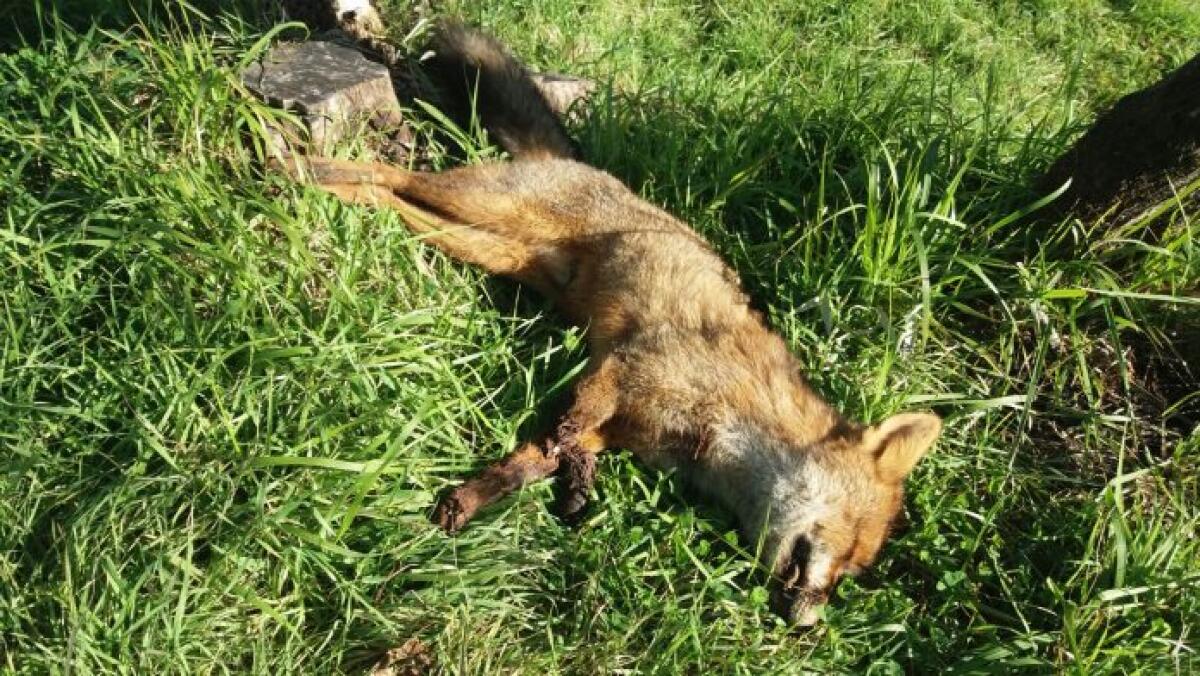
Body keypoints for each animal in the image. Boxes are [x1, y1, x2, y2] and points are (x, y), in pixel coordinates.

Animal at [274, 22, 942, 626]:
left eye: (850, 571)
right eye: (847, 552)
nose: (806, 620)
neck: (720, 434)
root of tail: (574, 162)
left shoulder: (619, 426)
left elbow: (532, 459)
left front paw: (482, 497)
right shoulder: (626, 364)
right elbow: (573, 418)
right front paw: (562, 467)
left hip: (478, 244)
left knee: (391, 198)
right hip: (480, 204)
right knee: (390, 174)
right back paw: (299, 168)